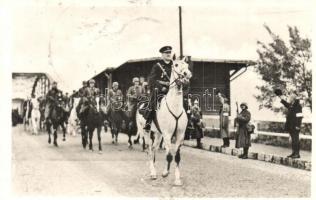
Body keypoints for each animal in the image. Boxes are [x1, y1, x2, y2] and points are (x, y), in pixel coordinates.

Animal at [135, 55, 191, 185]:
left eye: (187, 65)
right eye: (176, 65)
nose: (187, 74)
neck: (175, 107)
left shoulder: (179, 135)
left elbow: (177, 157)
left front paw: (177, 179)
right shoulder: (167, 134)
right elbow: (169, 155)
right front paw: (165, 173)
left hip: (158, 134)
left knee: (154, 149)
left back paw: (154, 170)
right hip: (146, 132)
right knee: (149, 150)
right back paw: (153, 173)